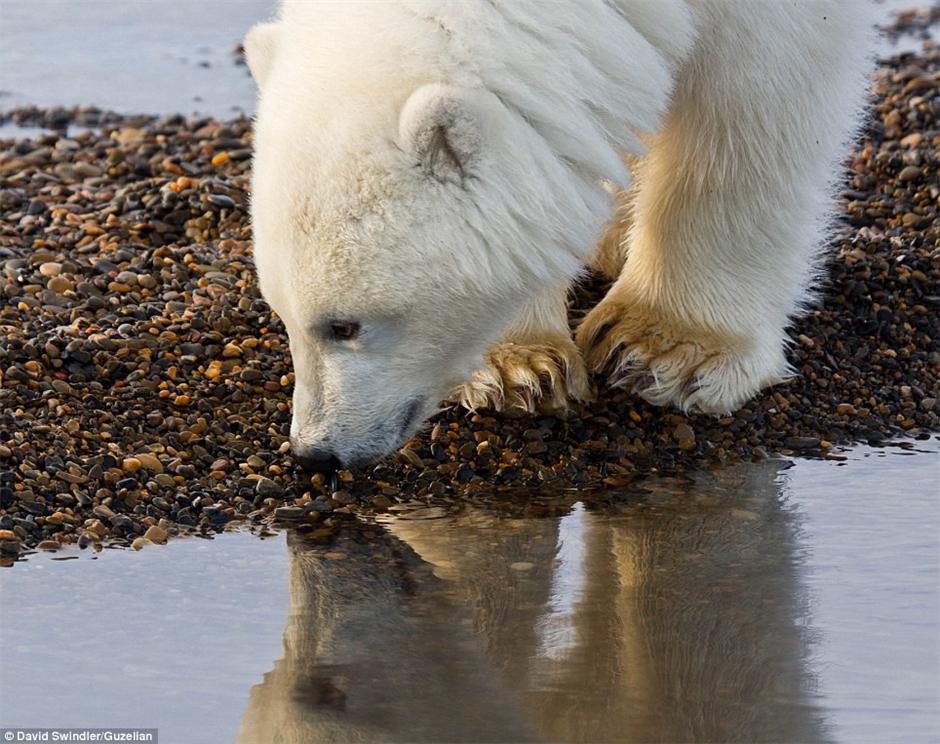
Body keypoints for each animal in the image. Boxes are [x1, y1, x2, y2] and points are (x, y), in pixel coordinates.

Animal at [246, 0, 876, 470]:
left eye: (344, 326)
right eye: (280, 313)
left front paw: (668, 348)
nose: (315, 452)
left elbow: (751, 106)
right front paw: (517, 366)